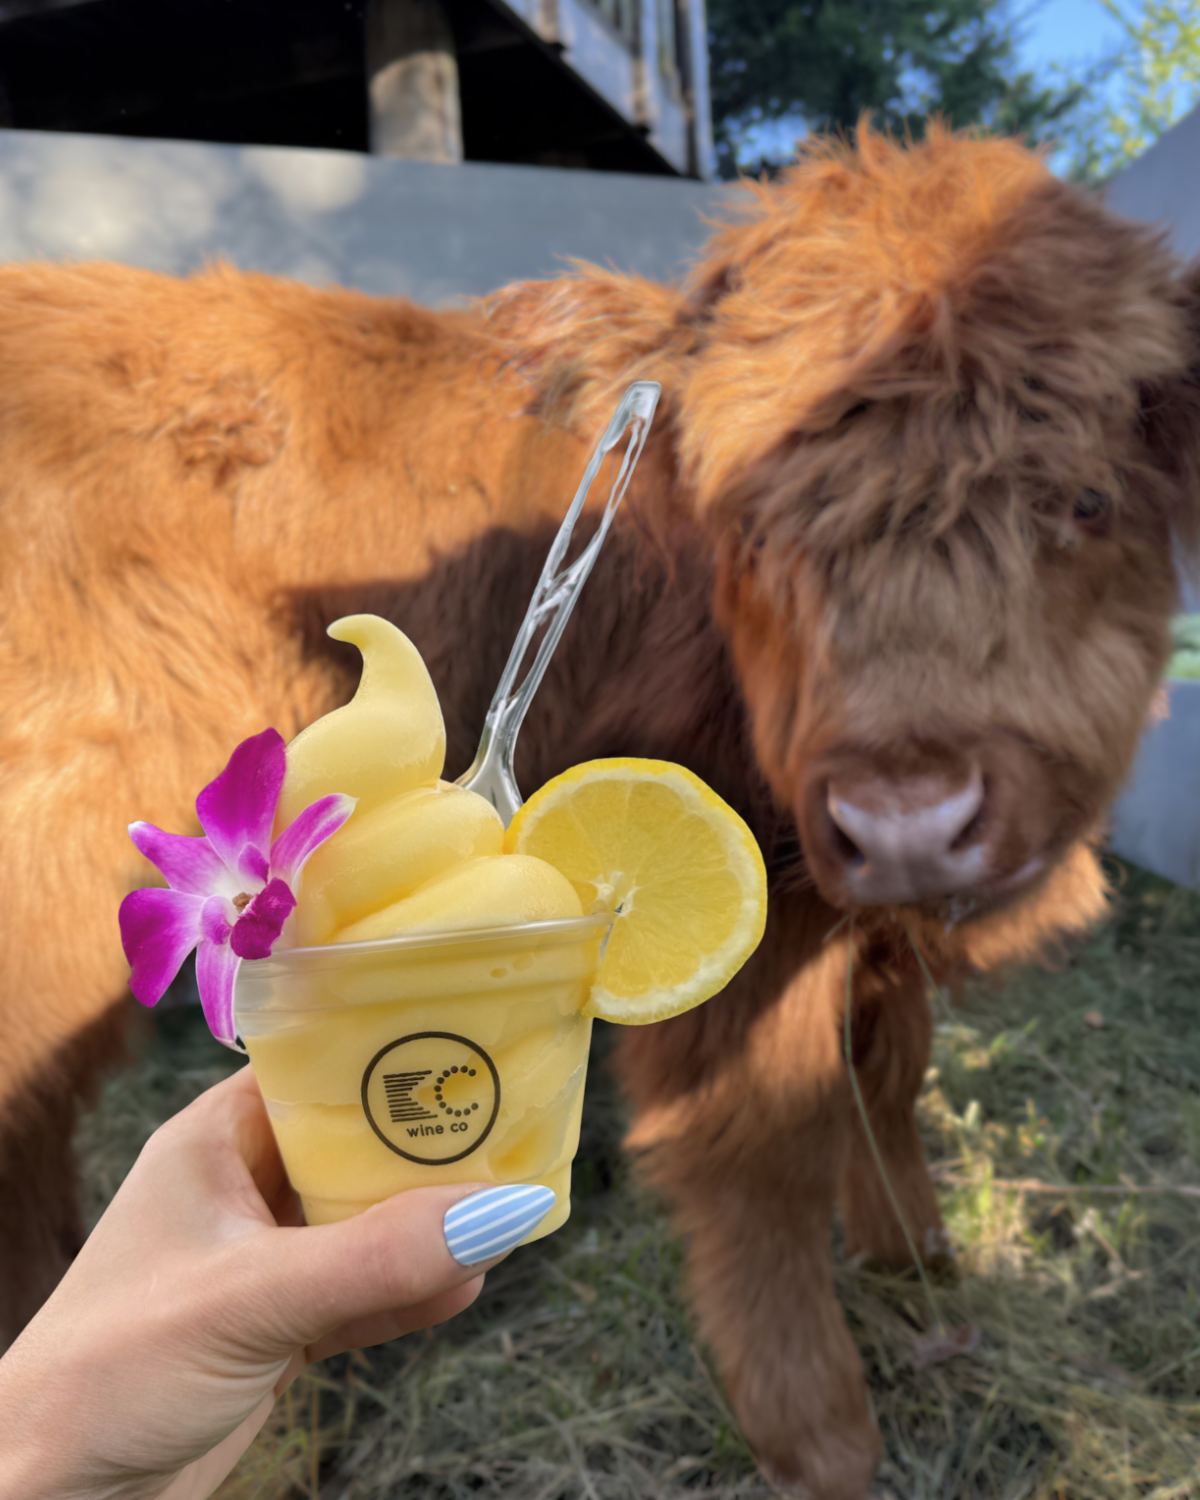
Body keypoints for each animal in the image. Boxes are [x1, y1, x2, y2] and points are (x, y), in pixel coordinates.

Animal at [1, 125, 1197, 1498]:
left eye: (1087, 503)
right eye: (756, 530)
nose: (907, 819)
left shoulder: (862, 918)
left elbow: (892, 1071)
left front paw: (917, 1253)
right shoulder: (766, 941)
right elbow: (768, 1143)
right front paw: (819, 1432)